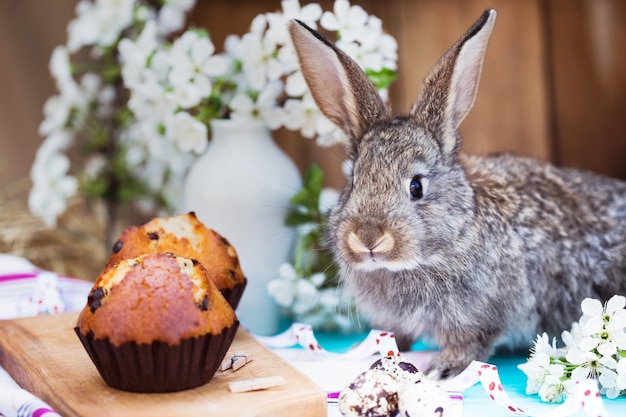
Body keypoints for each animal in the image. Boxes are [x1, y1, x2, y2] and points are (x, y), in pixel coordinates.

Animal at [288, 8, 624, 380]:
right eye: (353, 180)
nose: (368, 237)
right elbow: (396, 335)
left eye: (416, 186)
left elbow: (470, 343)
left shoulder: (480, 317)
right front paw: (369, 350)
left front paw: (443, 368)